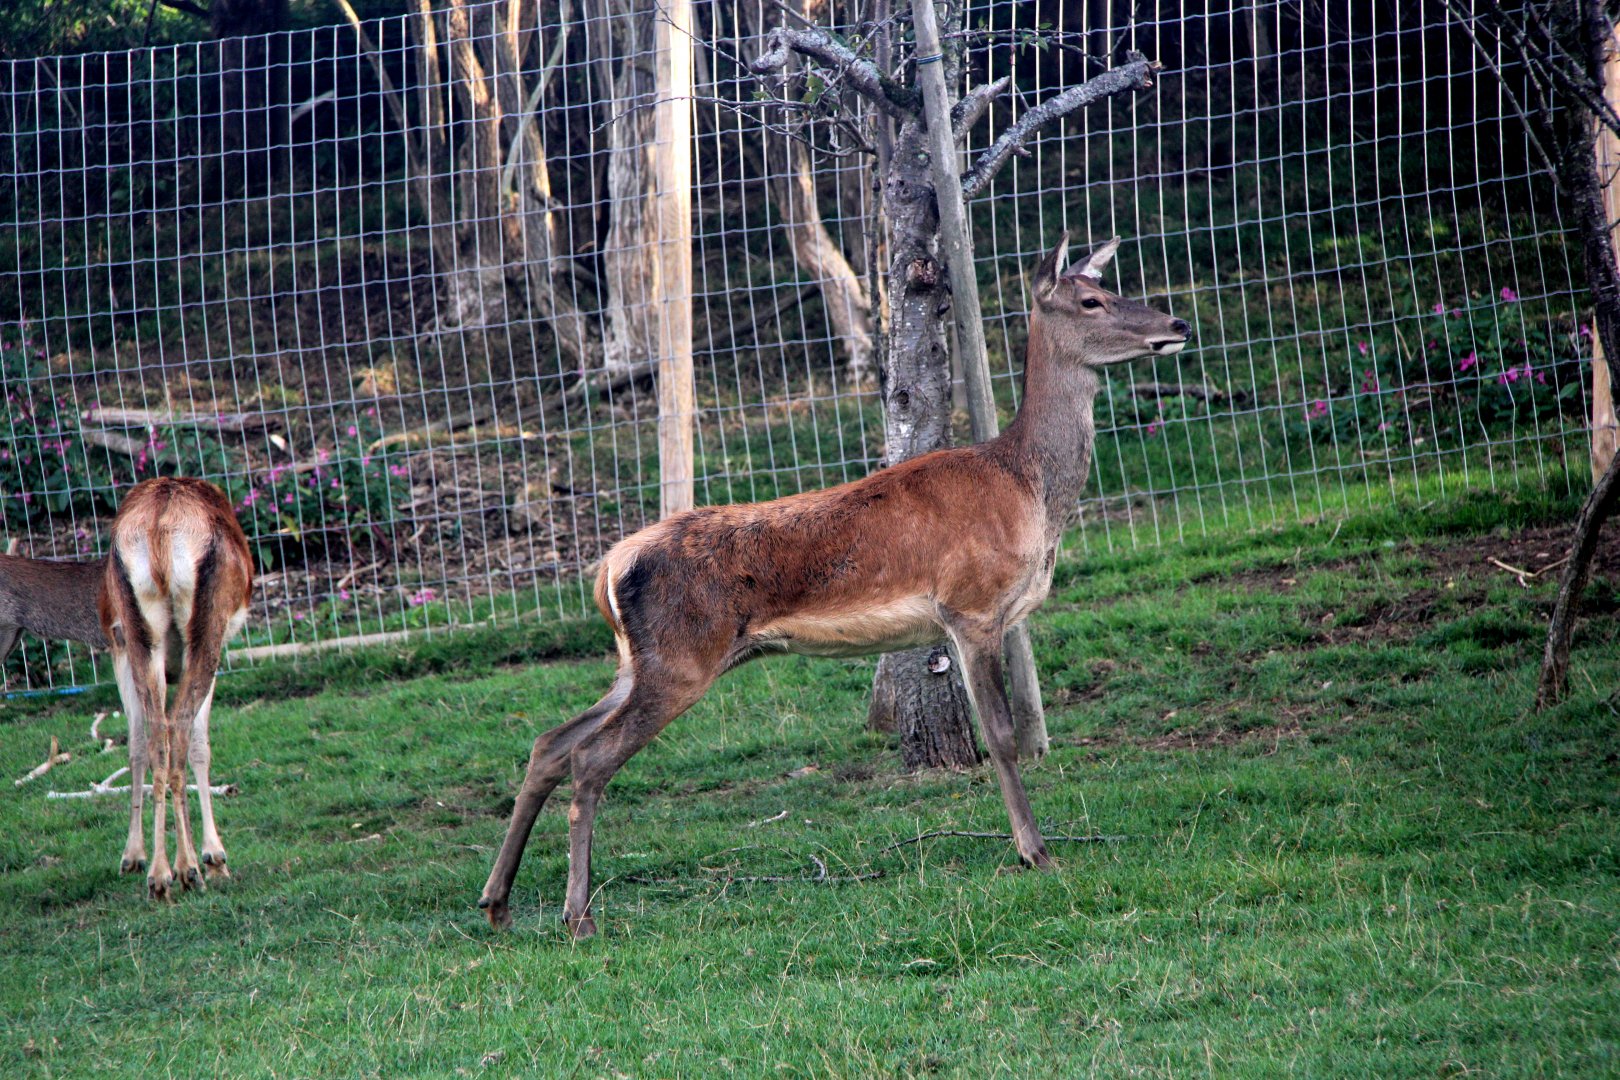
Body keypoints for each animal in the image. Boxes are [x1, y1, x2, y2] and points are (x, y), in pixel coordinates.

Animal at [100, 477, 254, 900]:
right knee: (180, 730)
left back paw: (158, 876)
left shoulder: (119, 650)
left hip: (140, 639)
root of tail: (158, 524)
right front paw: (214, 856)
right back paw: (189, 869)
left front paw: (131, 857)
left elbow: (137, 745)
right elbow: (202, 746)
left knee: (155, 736)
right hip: (205, 636)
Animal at [477, 234, 1191, 938]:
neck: (1029, 492)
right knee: (590, 758)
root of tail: (608, 568)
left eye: (1110, 285)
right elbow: (1001, 735)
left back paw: (498, 902)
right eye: (1092, 300)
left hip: (641, 660)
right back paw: (577, 915)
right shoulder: (970, 606)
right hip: (681, 659)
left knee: (549, 743)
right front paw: (1035, 852)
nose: (1177, 325)